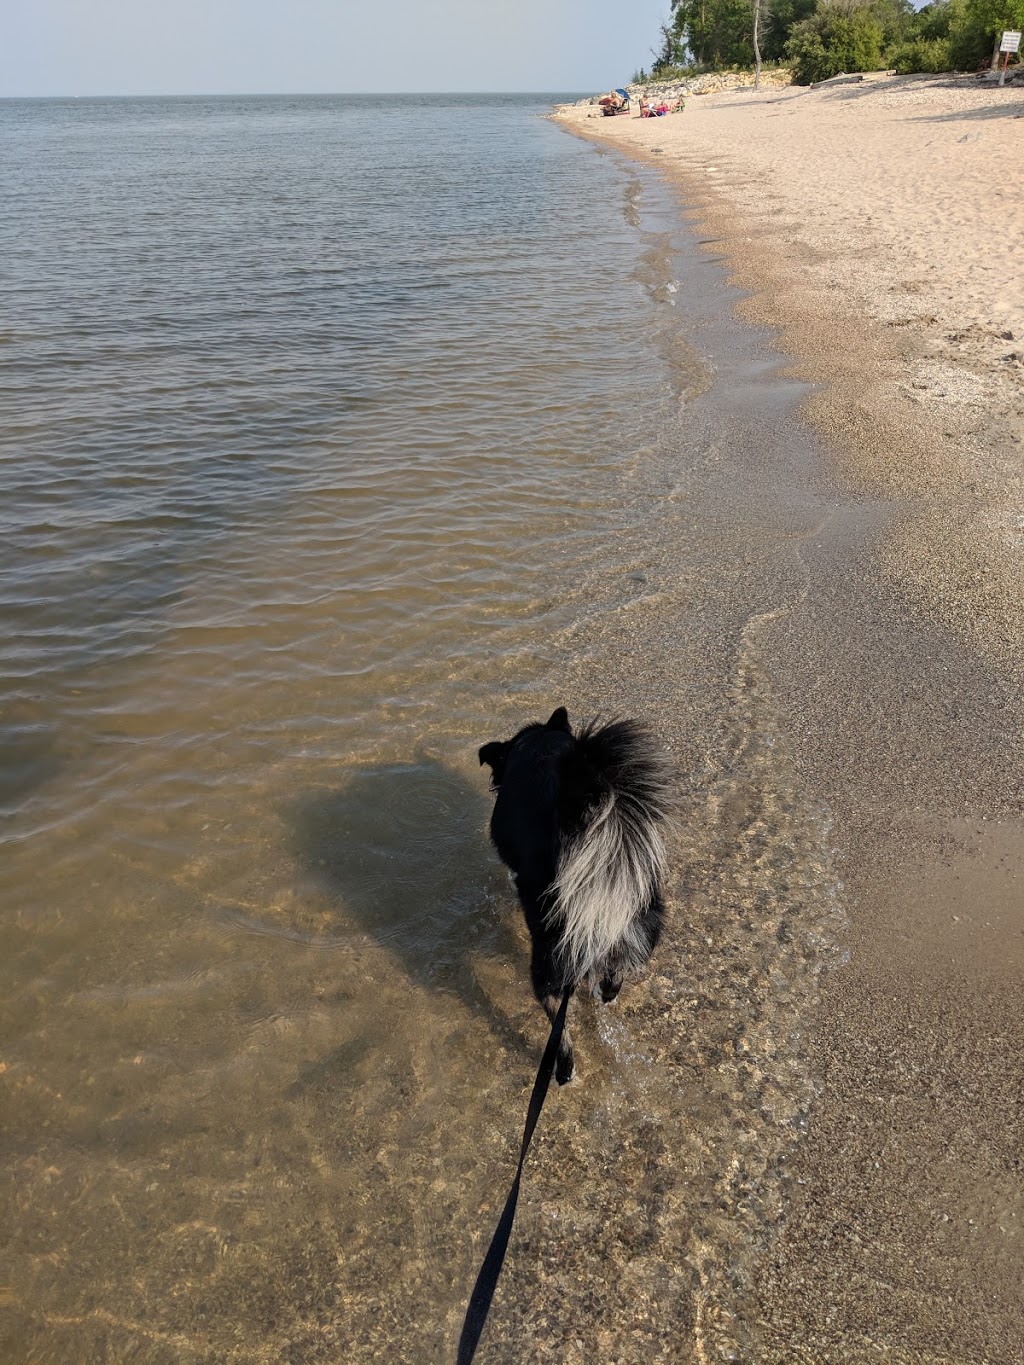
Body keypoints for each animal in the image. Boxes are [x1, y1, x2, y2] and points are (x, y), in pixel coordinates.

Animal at [480, 709, 674, 1081]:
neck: (539, 744)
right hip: (636, 920)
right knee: (616, 972)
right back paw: (605, 992)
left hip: (550, 957)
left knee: (555, 1015)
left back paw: (564, 1068)